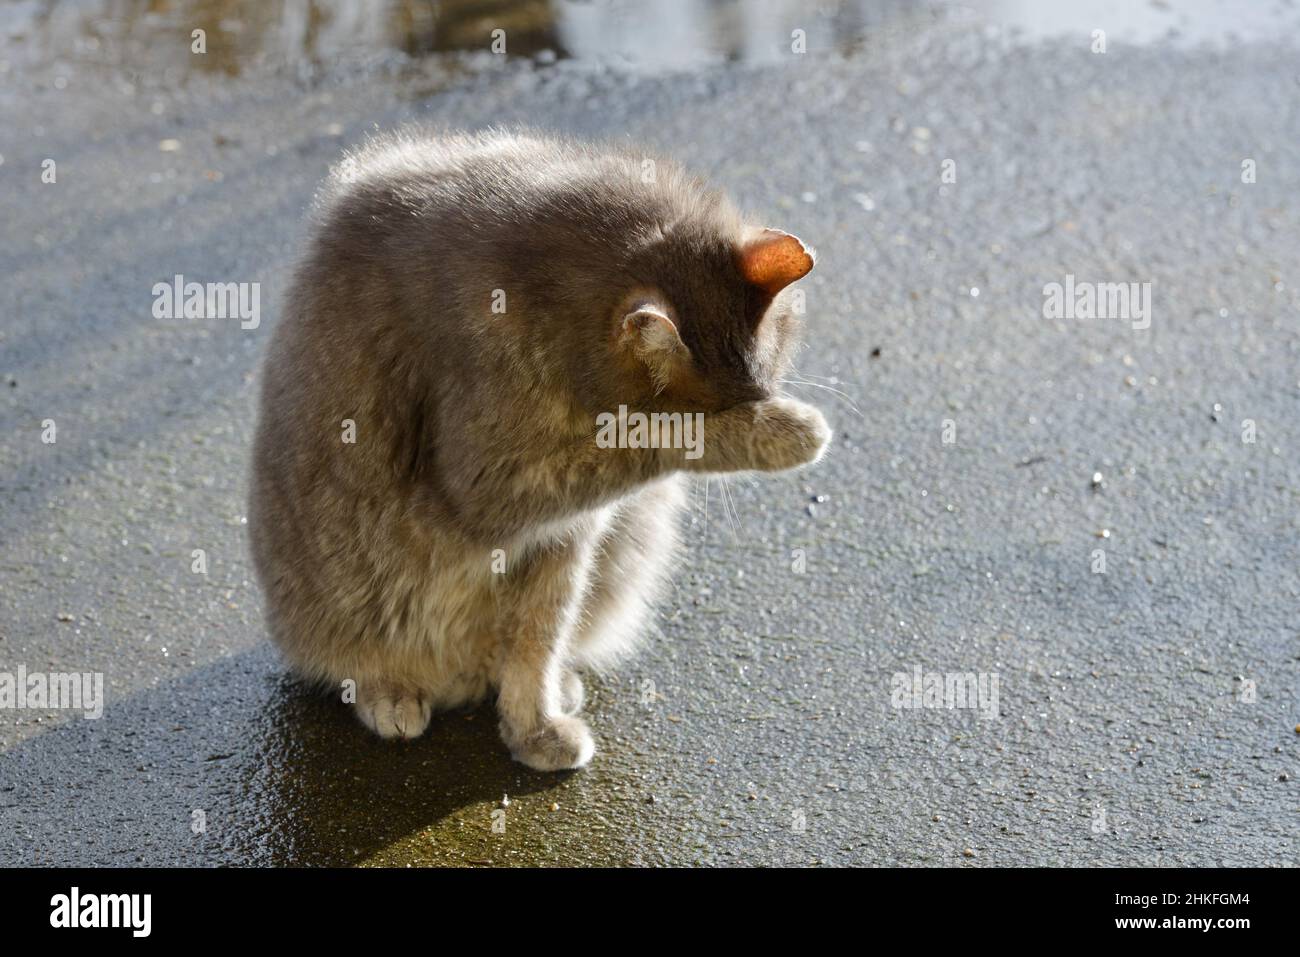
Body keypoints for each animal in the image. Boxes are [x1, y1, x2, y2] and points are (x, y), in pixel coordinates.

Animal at [248, 128, 826, 769]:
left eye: (765, 385)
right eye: (722, 413)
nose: (762, 407)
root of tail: (458, 679)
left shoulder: (567, 535)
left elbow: (537, 643)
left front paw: (534, 727)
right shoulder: (491, 484)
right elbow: (648, 439)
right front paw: (782, 433)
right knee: (359, 660)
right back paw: (391, 693)